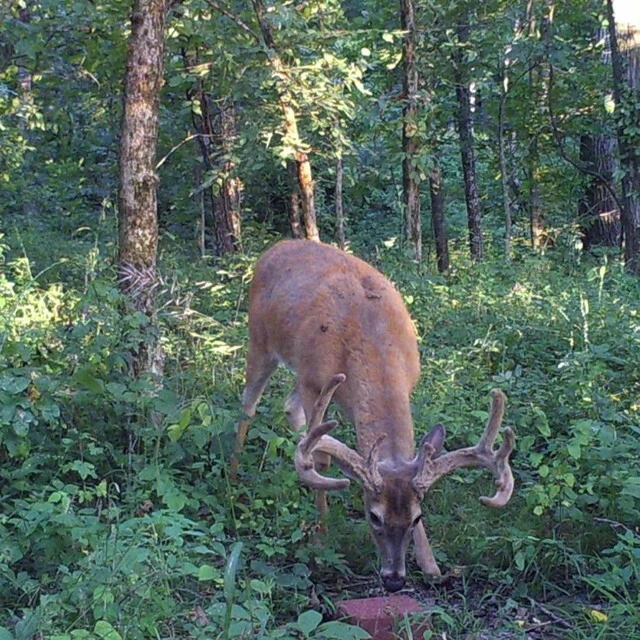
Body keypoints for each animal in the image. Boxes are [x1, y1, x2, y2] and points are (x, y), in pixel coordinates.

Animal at [232, 240, 515, 592]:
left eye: (417, 518)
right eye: (373, 516)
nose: (393, 580)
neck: (372, 339)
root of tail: (274, 247)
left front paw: (432, 566)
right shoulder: (314, 381)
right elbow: (321, 458)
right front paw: (322, 541)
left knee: (288, 405)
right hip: (259, 341)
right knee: (247, 407)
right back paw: (232, 481)